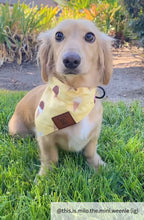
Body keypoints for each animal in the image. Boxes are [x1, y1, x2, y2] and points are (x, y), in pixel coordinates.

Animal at [8, 19, 113, 176]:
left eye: (90, 36)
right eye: (58, 35)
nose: (71, 60)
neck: (75, 96)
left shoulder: (94, 133)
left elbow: (90, 151)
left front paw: (98, 166)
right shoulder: (45, 138)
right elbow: (50, 158)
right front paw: (44, 177)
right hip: (17, 132)